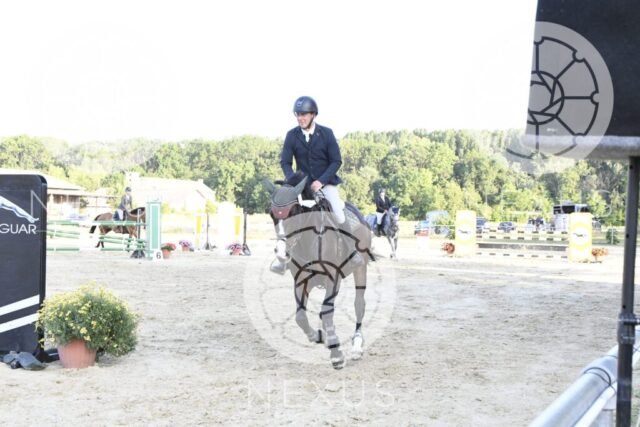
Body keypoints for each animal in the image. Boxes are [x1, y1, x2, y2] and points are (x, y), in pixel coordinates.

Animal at [263, 172, 374, 369]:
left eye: (294, 212)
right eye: (271, 214)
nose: (282, 254)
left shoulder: (333, 278)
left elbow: (326, 312)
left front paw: (336, 354)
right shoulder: (301, 280)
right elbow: (300, 316)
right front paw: (318, 336)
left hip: (361, 269)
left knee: (359, 305)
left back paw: (357, 346)